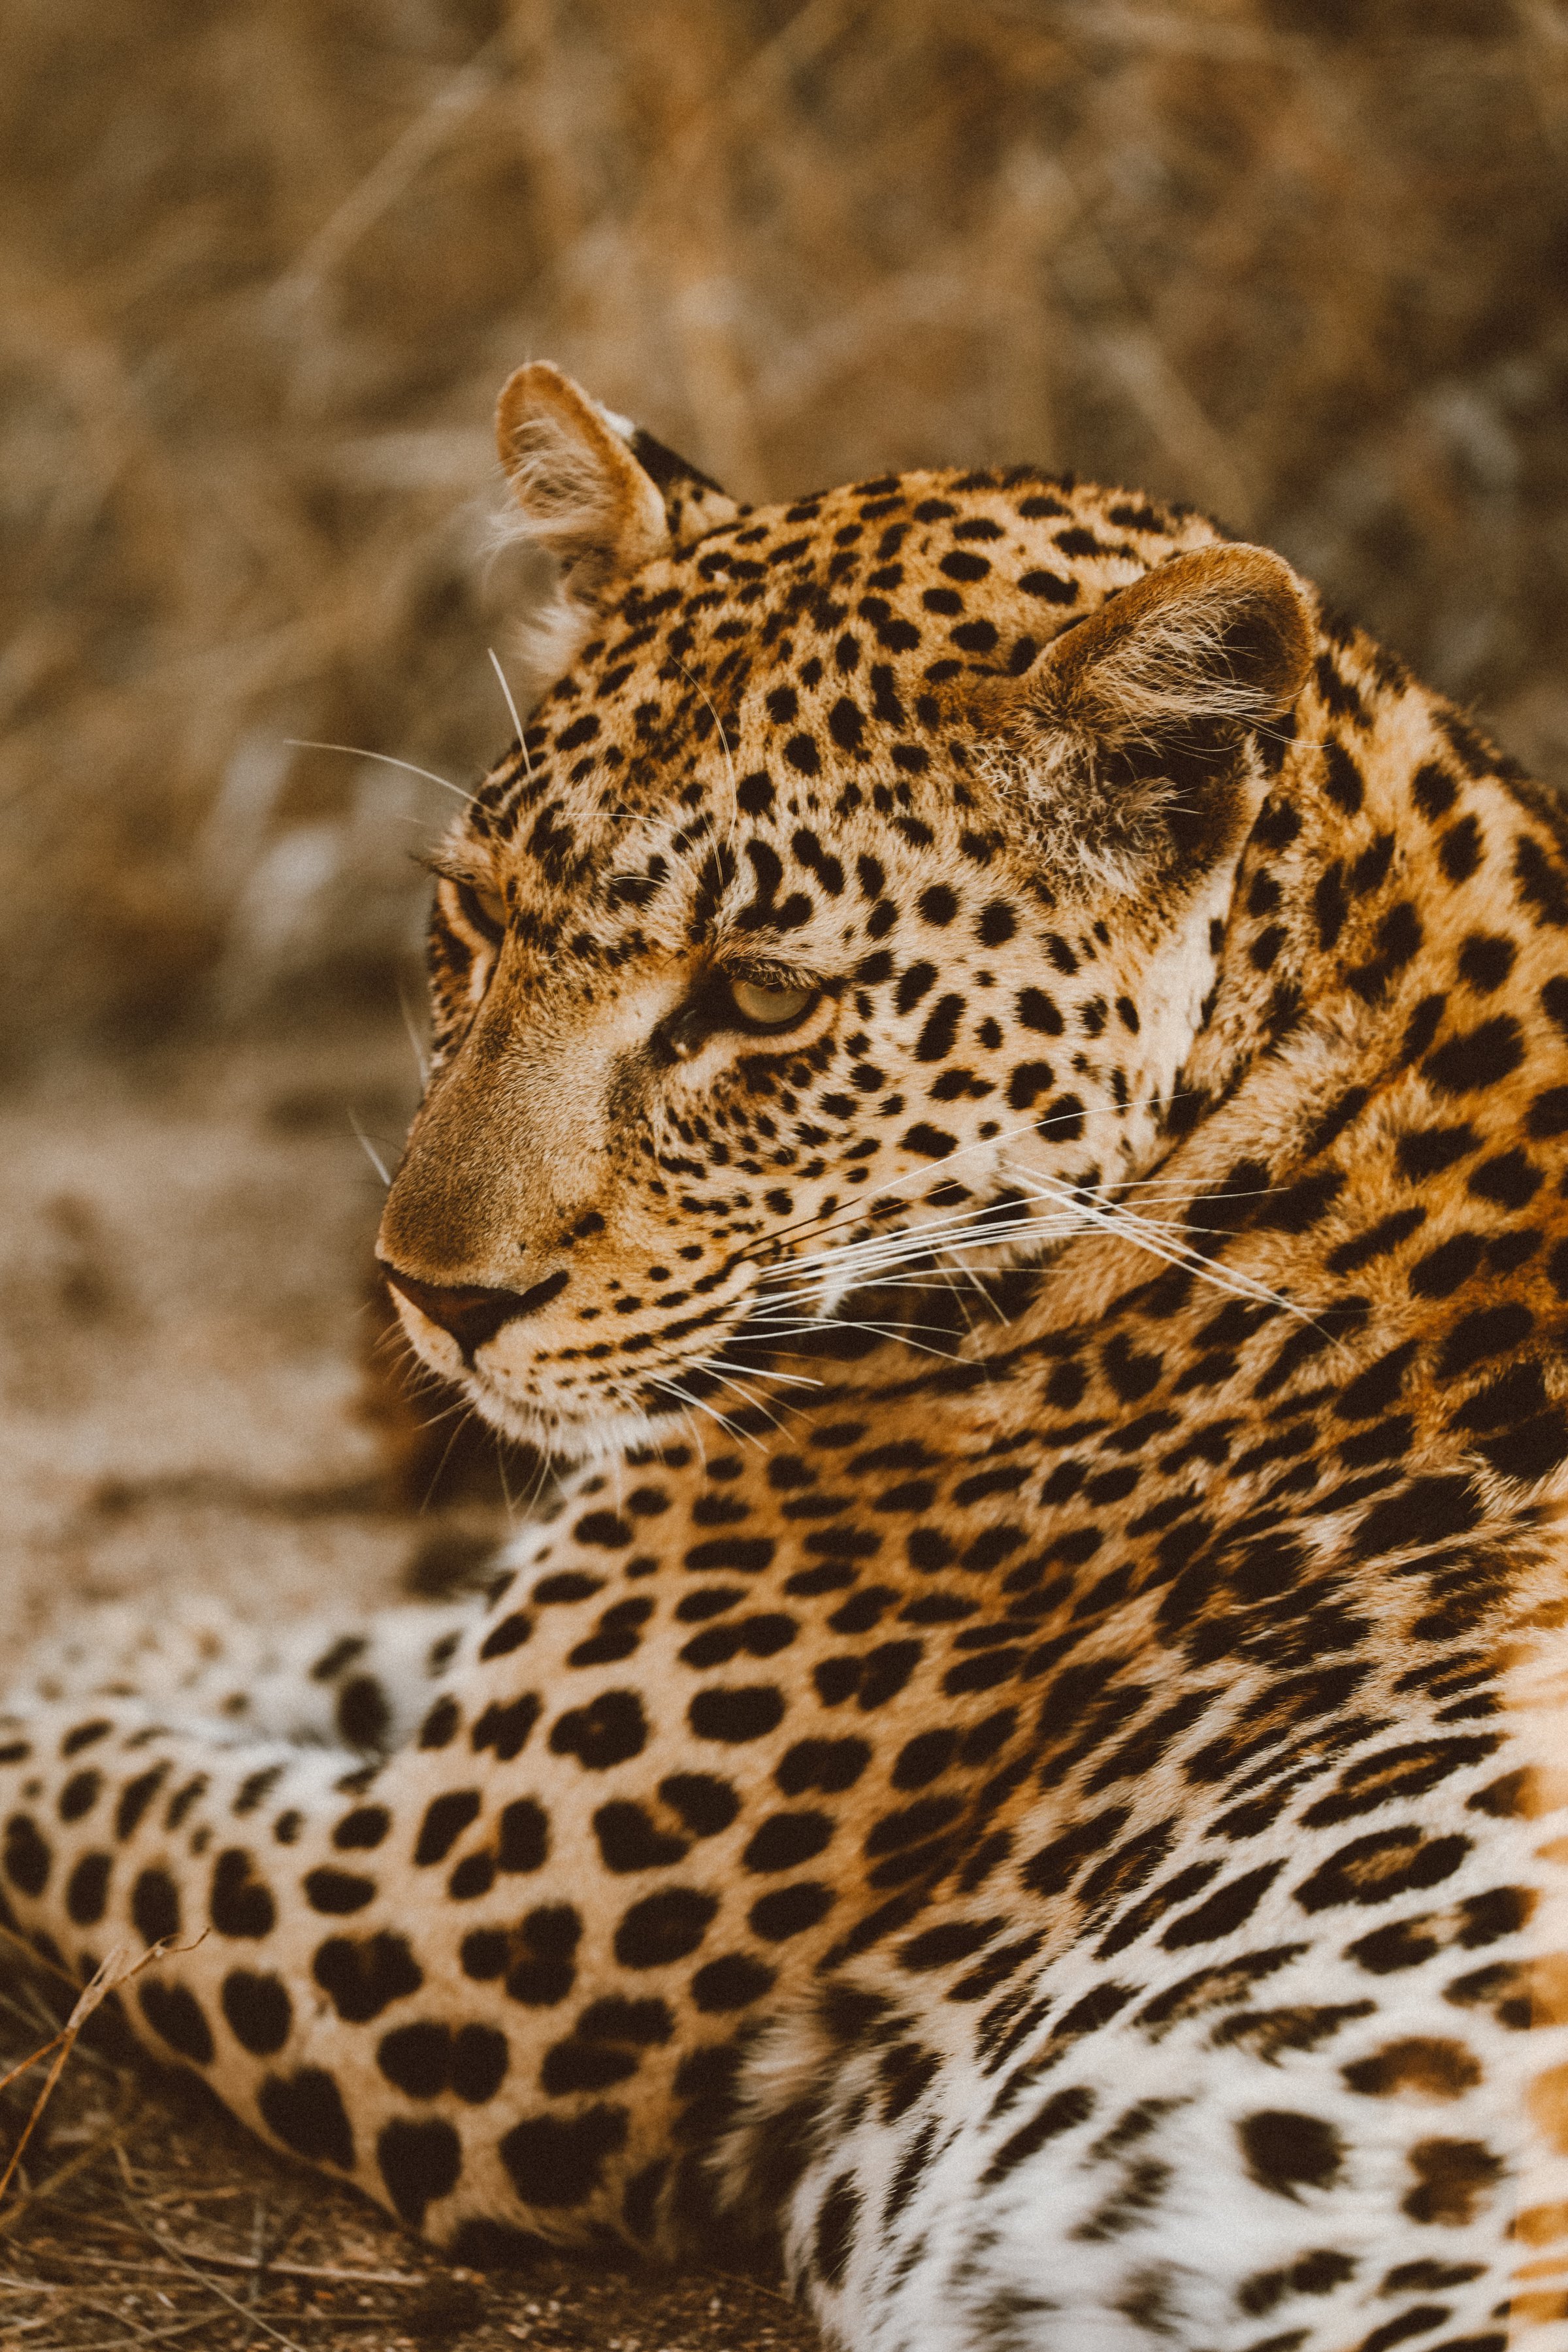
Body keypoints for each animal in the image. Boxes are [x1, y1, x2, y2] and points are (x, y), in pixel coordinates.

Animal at [7, 359, 1568, 2352]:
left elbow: (82, 1789)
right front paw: (148, 1635)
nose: (432, 1295)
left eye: (754, 998)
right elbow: (337, 1647)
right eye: (478, 920)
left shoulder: (426, 1936)